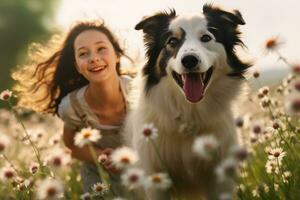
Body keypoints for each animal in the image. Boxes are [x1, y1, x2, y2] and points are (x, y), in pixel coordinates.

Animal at [124, 3, 251, 200]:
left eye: (206, 37)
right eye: (172, 42)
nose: (189, 60)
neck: (190, 111)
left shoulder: (220, 175)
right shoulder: (155, 177)